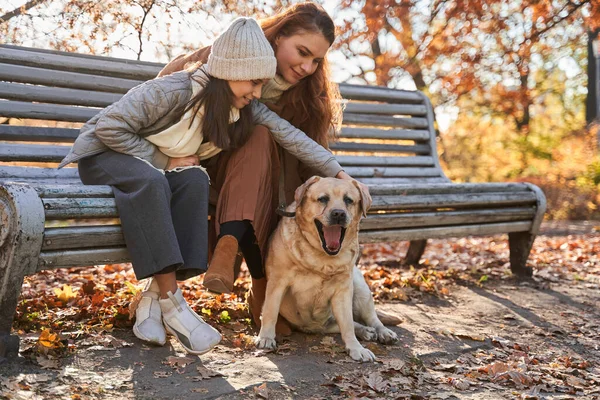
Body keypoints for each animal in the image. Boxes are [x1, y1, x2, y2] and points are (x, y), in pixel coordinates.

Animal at [254, 177, 398, 360]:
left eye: (348, 200)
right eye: (322, 199)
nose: (339, 213)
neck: (322, 257)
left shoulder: (343, 291)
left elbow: (347, 325)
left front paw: (356, 348)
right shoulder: (277, 282)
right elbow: (270, 311)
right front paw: (266, 337)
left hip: (360, 288)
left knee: (369, 318)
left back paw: (381, 332)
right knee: (350, 323)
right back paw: (366, 331)